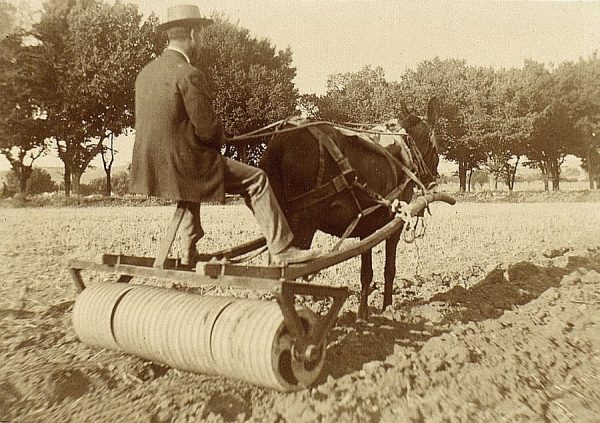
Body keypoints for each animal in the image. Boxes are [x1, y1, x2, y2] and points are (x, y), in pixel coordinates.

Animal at [260, 97, 438, 320]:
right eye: (435, 146)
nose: (433, 181)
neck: (404, 153)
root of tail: (283, 139)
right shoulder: (392, 227)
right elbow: (388, 269)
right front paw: (387, 308)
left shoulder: (367, 228)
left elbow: (366, 272)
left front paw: (363, 313)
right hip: (303, 225)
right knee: (286, 275)